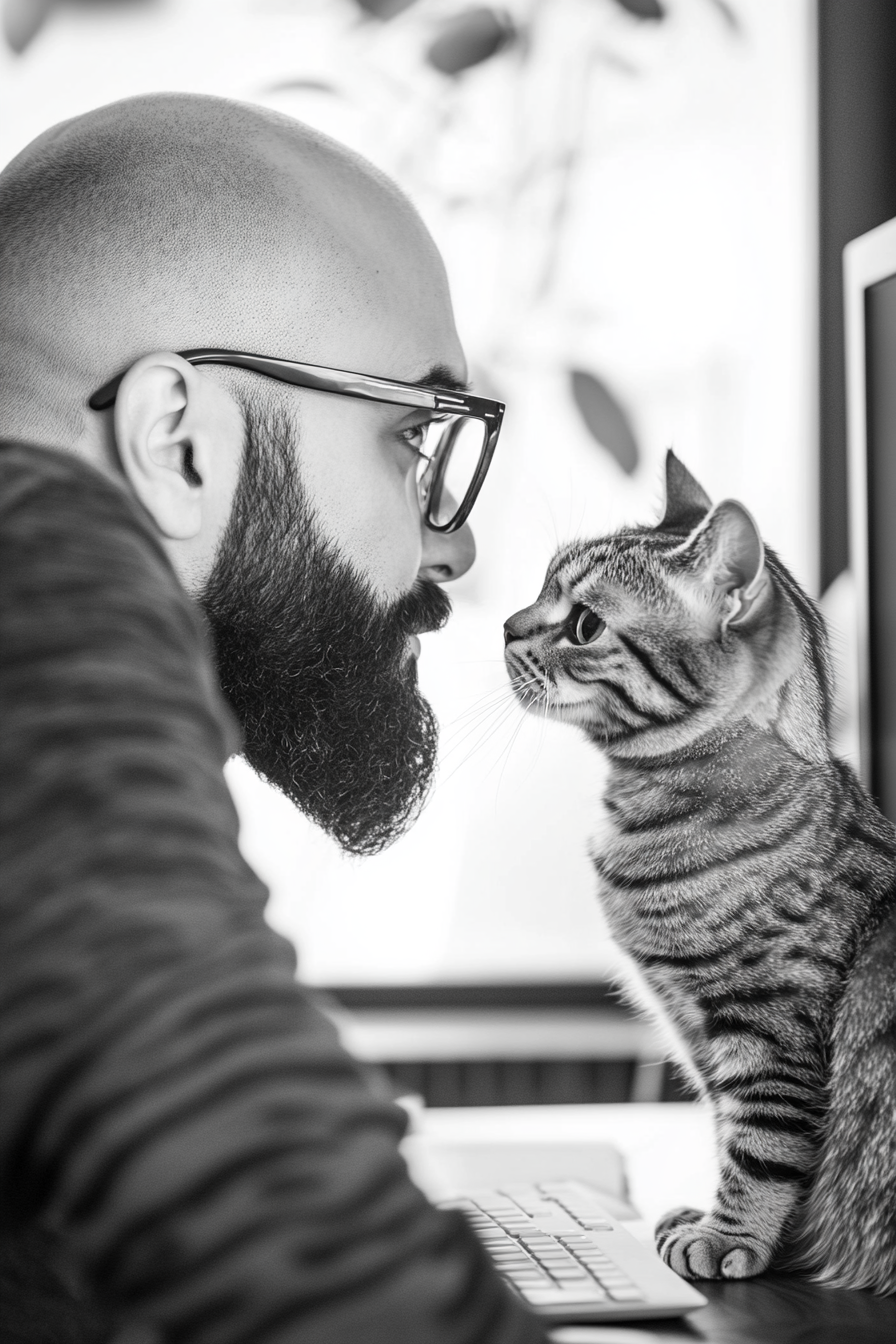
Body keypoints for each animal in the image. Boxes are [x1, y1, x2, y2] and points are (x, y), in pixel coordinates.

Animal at [505, 454, 896, 1290]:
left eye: (584, 625)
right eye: (542, 583)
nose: (507, 626)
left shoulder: (769, 1028)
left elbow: (763, 1149)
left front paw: (729, 1235)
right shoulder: (705, 1037)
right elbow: (727, 1132)